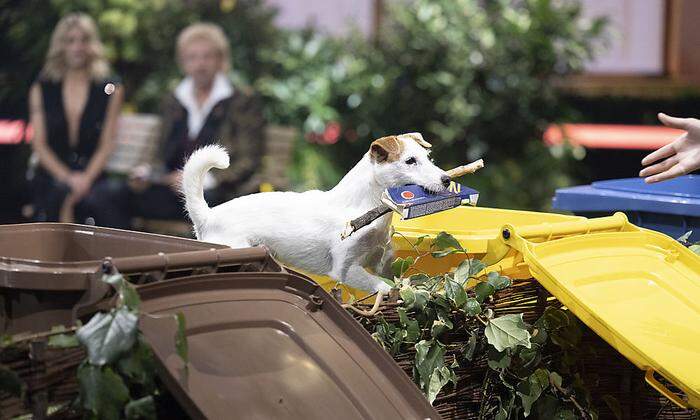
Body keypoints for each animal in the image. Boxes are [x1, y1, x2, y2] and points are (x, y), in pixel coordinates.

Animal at [182, 133, 448, 290]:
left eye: (429, 157)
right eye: (410, 161)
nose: (446, 179)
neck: (365, 206)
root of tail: (207, 216)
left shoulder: (377, 260)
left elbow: (390, 275)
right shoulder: (345, 270)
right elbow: (382, 287)